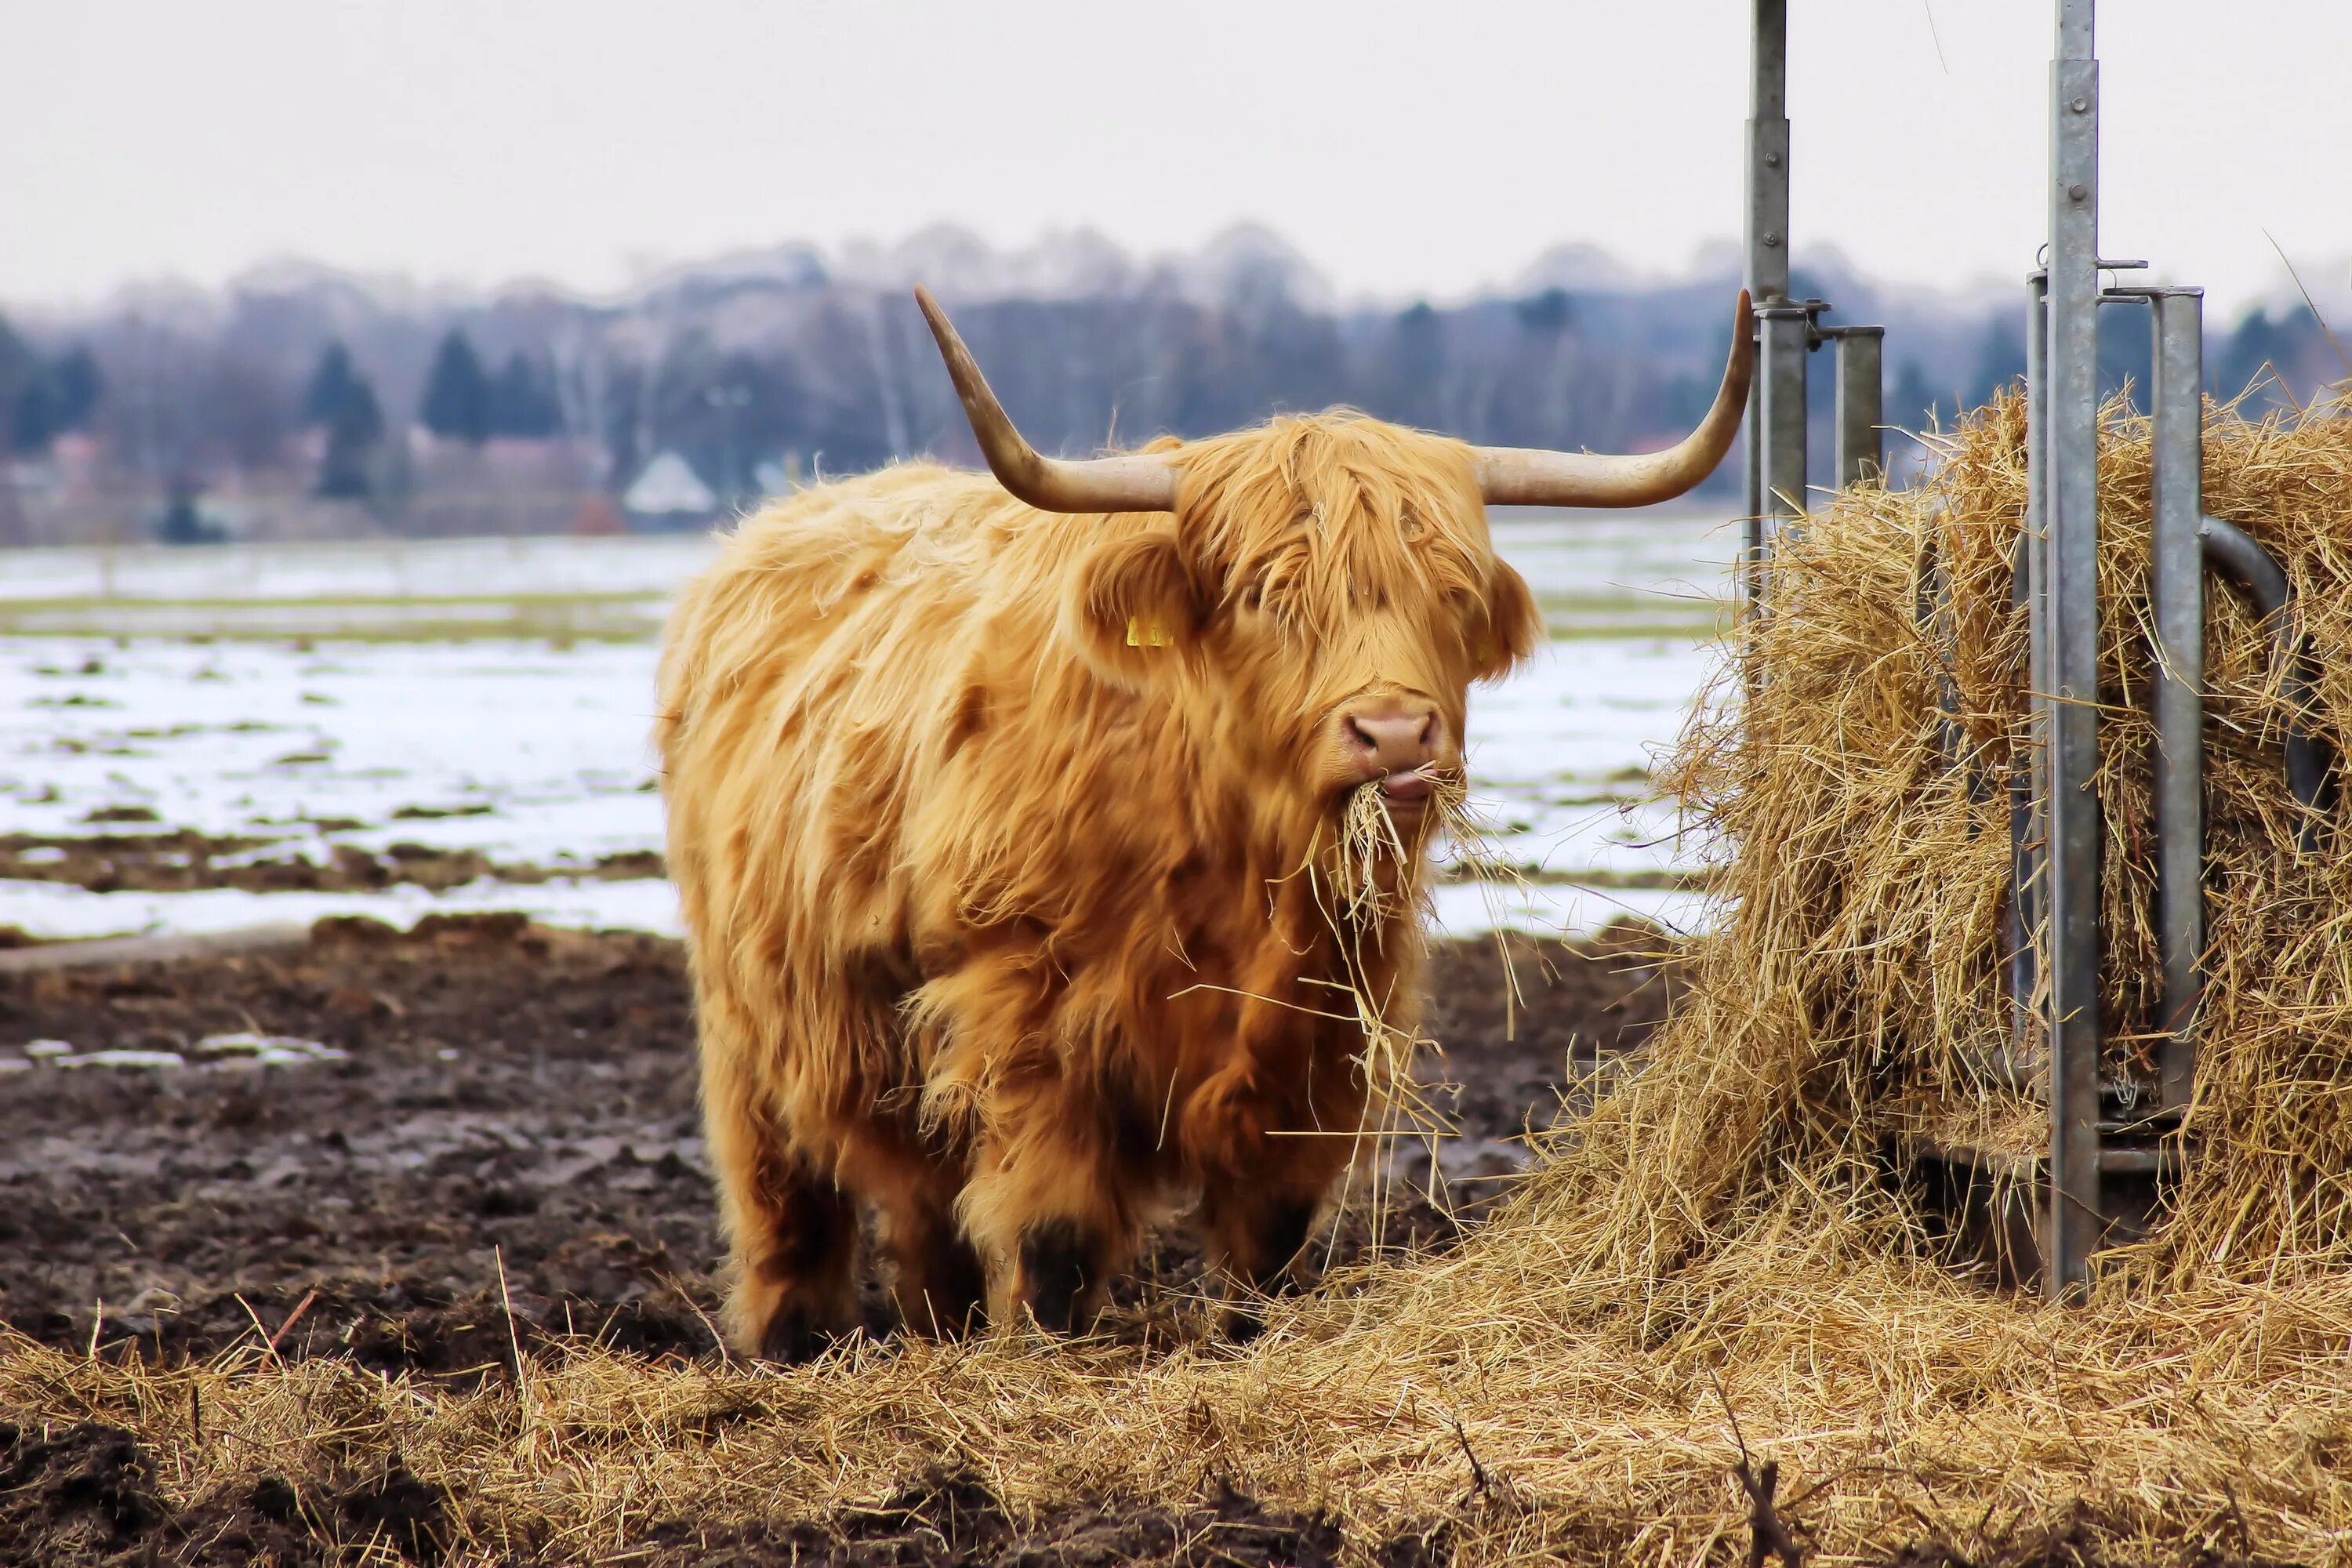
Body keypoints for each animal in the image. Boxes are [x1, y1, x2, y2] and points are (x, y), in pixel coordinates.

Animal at [654, 285, 1759, 1363]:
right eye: (1269, 594)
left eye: (1451, 593)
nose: (1395, 732)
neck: (1236, 859)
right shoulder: (1030, 1023)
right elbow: (1053, 1240)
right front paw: (1041, 1358)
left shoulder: (1320, 1044)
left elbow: (1268, 1243)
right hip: (751, 1019)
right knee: (787, 1202)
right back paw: (794, 1340)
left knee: (926, 1218)